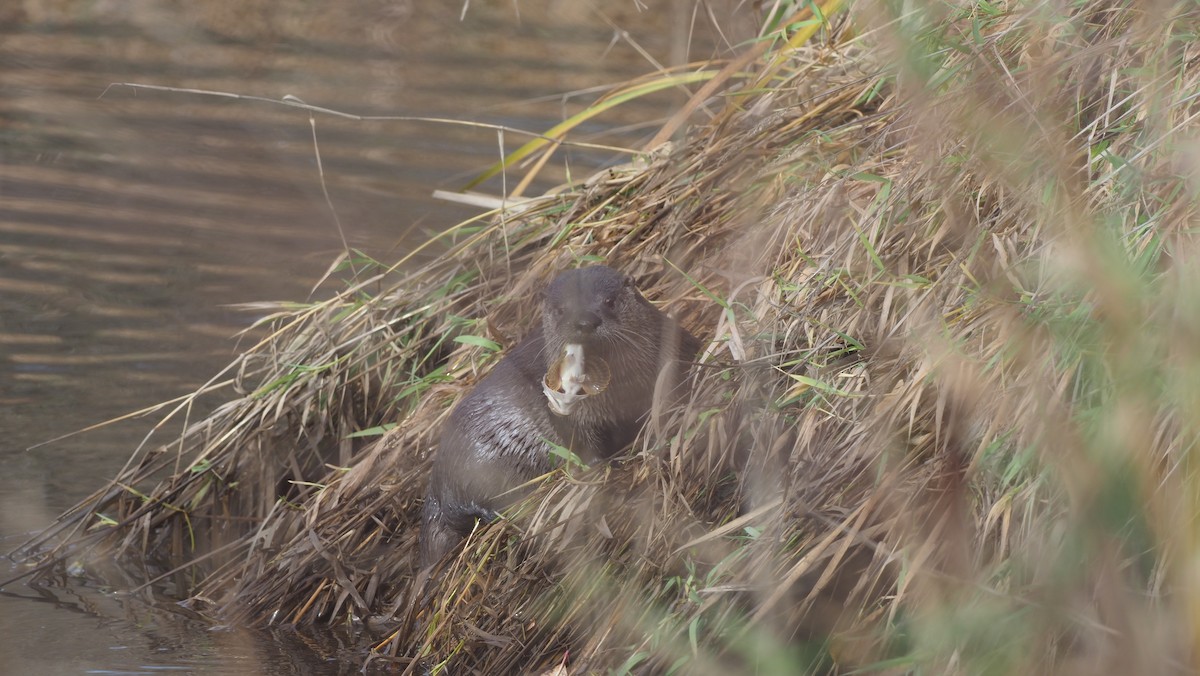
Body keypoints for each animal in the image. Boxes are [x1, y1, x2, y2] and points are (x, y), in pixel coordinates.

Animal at [419, 266, 701, 567]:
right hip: (477, 467)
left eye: (609, 301)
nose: (585, 322)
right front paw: (604, 467)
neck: (620, 391)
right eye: (561, 309)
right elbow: (581, 442)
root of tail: (435, 486)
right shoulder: (564, 411)